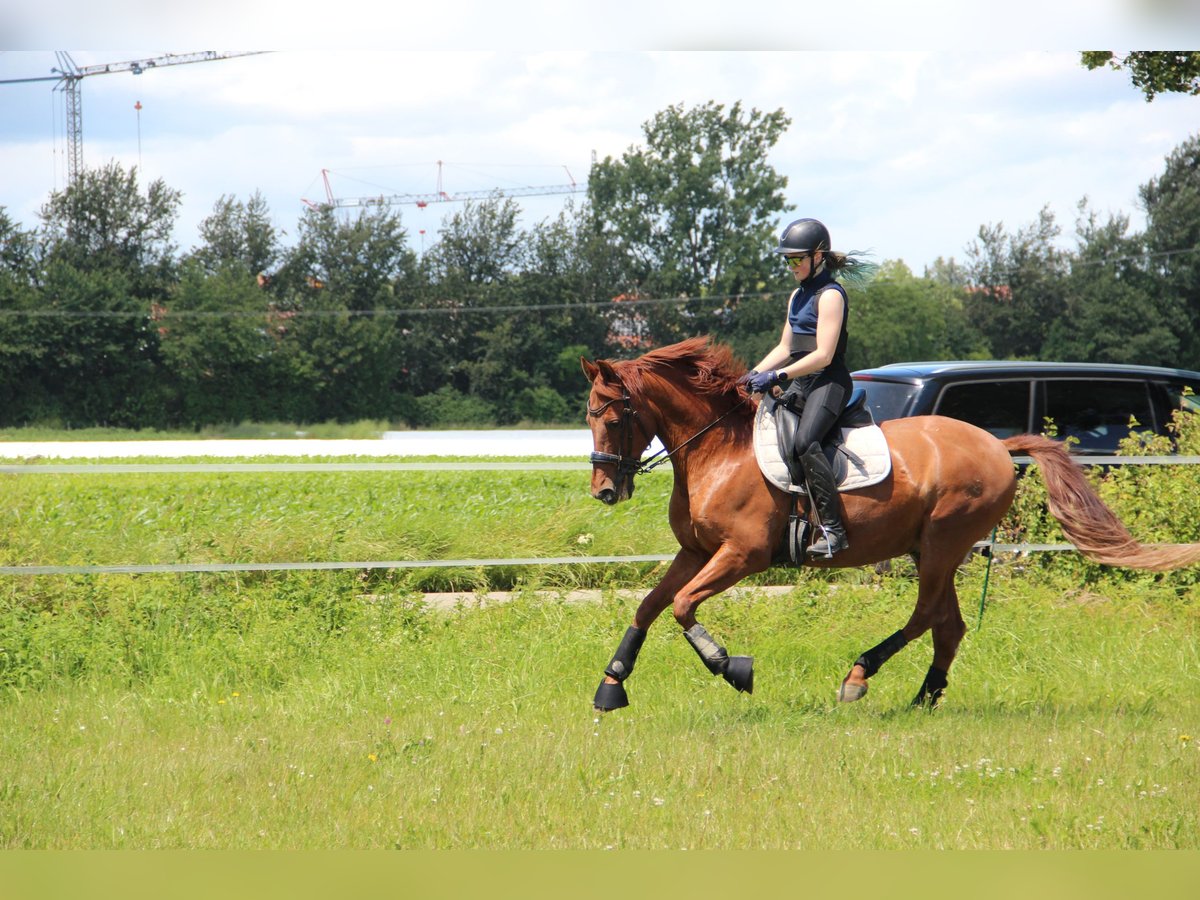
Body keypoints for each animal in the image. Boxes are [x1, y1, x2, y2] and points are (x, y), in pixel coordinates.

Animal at [580, 338, 1200, 710]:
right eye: (589, 416)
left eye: (611, 415)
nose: (605, 491)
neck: (718, 451)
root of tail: (999, 446)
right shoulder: (695, 552)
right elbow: (651, 606)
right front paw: (611, 685)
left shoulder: (743, 555)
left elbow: (684, 606)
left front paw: (732, 667)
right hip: (933, 549)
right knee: (948, 626)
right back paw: (924, 698)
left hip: (943, 542)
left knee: (926, 616)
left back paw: (859, 677)